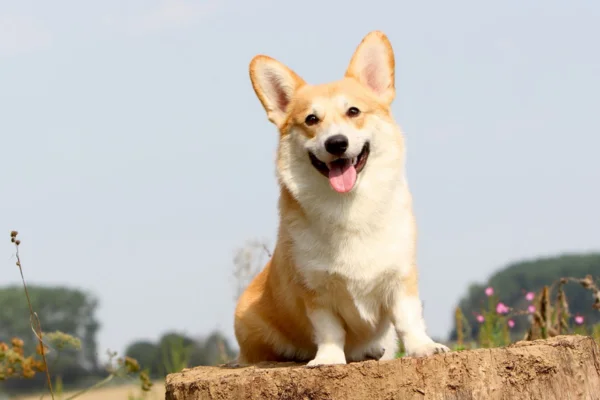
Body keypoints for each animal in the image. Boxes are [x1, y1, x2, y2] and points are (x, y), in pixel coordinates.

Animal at [232, 30, 448, 366]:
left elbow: (408, 318)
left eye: (353, 112)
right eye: (311, 120)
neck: (349, 207)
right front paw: (328, 360)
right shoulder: (315, 291)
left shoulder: (401, 278)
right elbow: (330, 330)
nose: (336, 143)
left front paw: (423, 347)